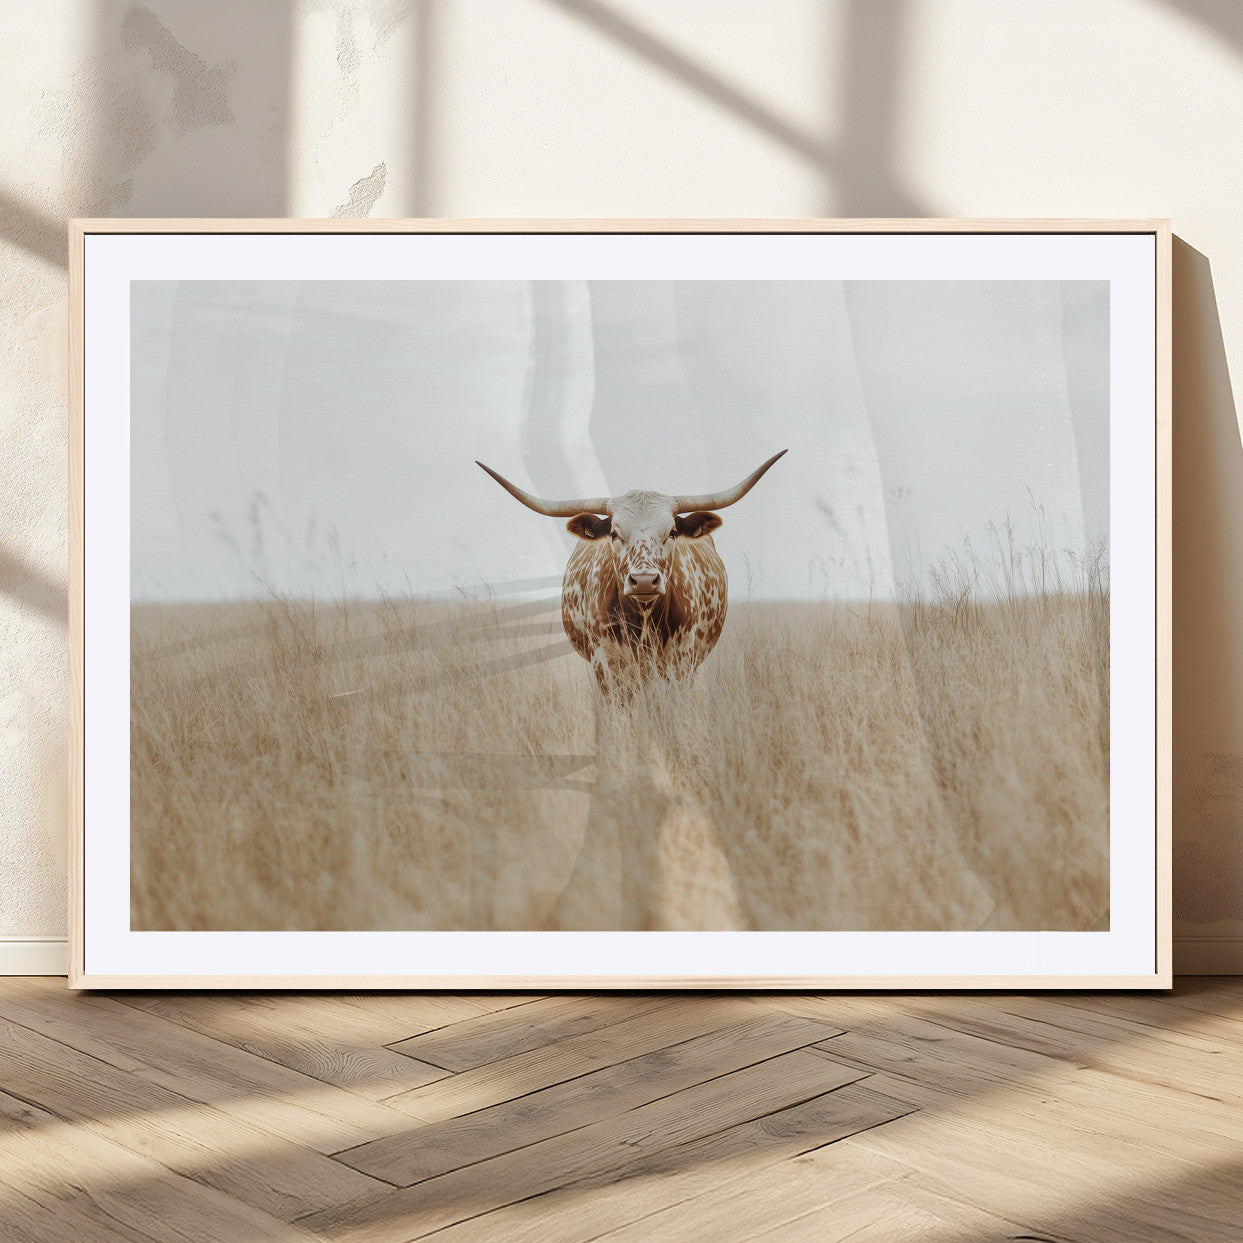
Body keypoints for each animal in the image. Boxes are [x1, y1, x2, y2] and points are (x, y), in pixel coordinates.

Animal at [476, 451, 787, 696]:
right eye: (614, 533)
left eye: (672, 532)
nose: (645, 581)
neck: (644, 619)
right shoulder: (607, 665)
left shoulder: (681, 662)